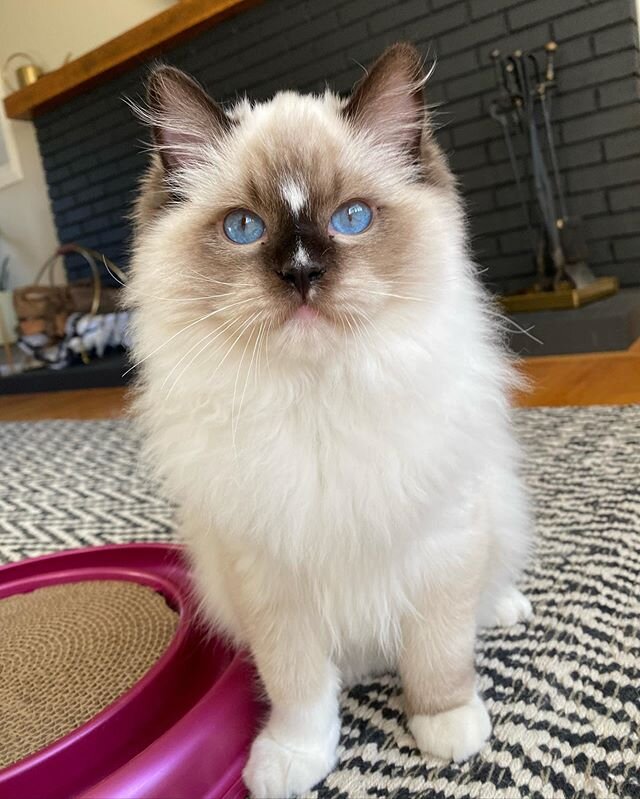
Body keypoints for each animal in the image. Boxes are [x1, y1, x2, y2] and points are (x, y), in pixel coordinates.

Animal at [127, 43, 532, 799]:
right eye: (244, 228)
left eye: (352, 219)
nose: (301, 273)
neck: (317, 401)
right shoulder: (271, 580)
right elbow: (298, 690)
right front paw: (294, 759)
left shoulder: (438, 547)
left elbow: (439, 656)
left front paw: (446, 729)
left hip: (495, 512)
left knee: (483, 595)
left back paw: (504, 608)